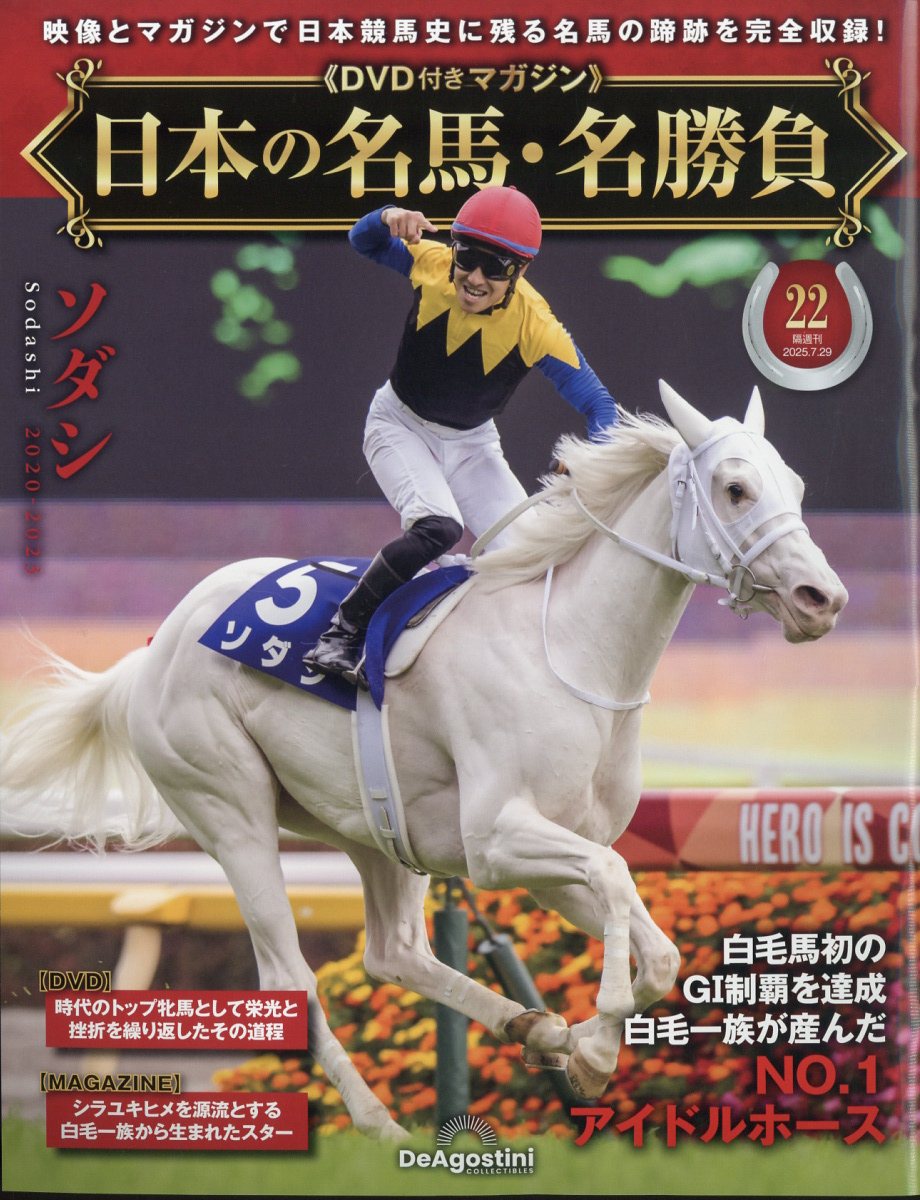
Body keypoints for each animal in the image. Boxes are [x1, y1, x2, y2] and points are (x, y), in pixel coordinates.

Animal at [0, 382, 847, 1141]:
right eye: (735, 488)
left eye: (797, 485)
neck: (574, 651)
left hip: (375, 829)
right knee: (290, 979)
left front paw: (579, 1041)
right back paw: (381, 1125)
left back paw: (532, 1028)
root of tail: (152, 649)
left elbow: (656, 946)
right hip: (228, 807)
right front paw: (598, 1045)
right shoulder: (498, 840)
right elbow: (616, 884)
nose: (822, 598)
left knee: (394, 952)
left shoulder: (556, 853)